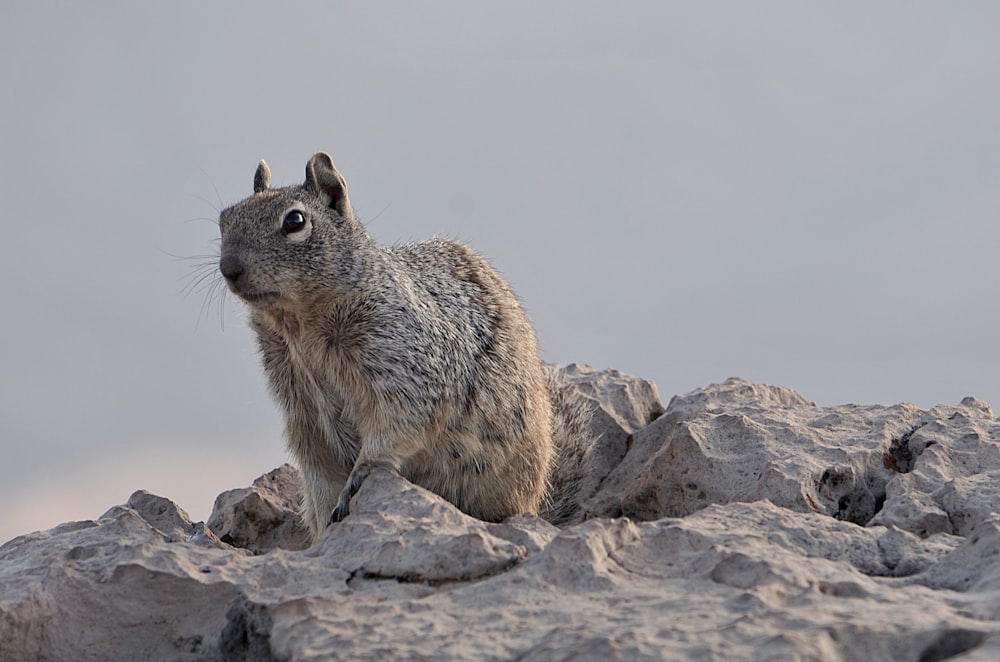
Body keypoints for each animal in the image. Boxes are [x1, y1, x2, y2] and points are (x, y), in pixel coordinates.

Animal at [215, 153, 584, 544]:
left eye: (295, 221)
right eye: (225, 217)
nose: (229, 268)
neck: (299, 325)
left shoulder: (405, 364)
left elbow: (398, 423)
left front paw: (360, 476)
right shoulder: (302, 407)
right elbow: (319, 470)